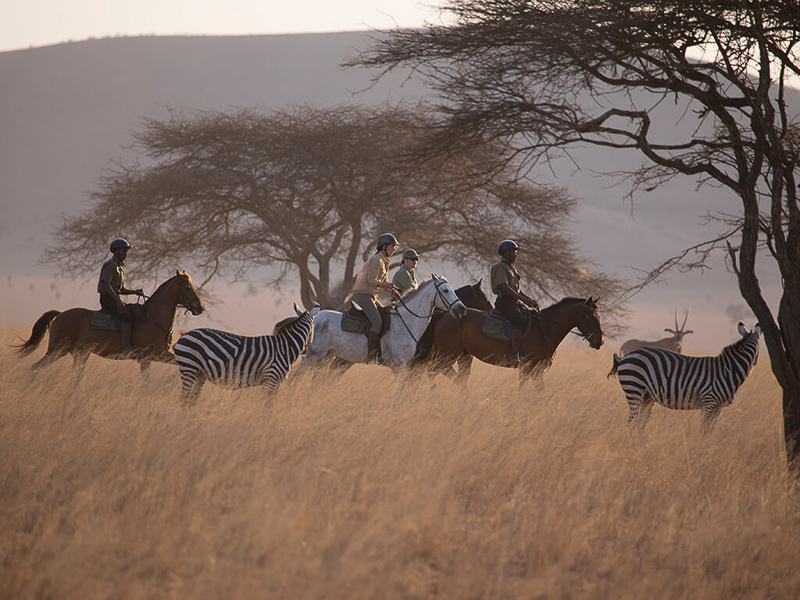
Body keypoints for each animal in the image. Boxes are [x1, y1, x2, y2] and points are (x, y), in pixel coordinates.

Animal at [16, 270, 205, 372]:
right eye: (187, 288)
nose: (200, 308)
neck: (154, 318)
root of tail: (61, 314)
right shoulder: (148, 358)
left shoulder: (159, 355)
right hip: (57, 350)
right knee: (36, 367)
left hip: (79, 353)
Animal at [173, 302, 320, 406]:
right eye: (314, 327)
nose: (307, 350)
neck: (286, 347)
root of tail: (184, 335)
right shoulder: (271, 378)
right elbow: (268, 405)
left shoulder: (277, 381)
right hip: (189, 367)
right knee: (184, 399)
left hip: (200, 373)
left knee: (191, 399)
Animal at [434, 296, 604, 390]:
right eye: (589, 315)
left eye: (598, 315)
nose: (600, 341)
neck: (544, 329)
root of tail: (445, 315)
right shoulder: (528, 368)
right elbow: (523, 390)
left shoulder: (536, 370)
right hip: (448, 355)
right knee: (435, 371)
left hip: (464, 356)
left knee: (459, 378)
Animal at [608, 324, 760, 432]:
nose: (755, 363)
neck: (729, 369)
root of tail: (623, 357)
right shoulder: (709, 401)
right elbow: (703, 429)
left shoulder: (719, 406)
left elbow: (710, 430)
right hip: (634, 387)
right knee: (631, 422)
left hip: (646, 395)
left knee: (640, 422)